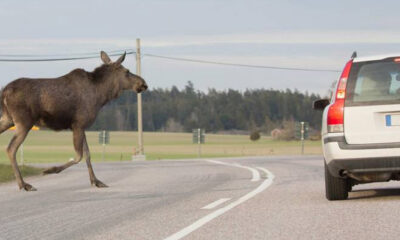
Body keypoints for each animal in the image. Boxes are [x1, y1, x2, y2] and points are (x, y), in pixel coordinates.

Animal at [0, 51, 148, 191]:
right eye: (127, 72)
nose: (144, 84)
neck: (101, 96)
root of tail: (4, 92)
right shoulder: (78, 124)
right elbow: (78, 156)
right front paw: (50, 170)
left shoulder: (82, 126)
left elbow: (87, 154)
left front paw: (96, 181)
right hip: (24, 122)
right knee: (11, 148)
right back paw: (24, 184)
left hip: (8, 119)